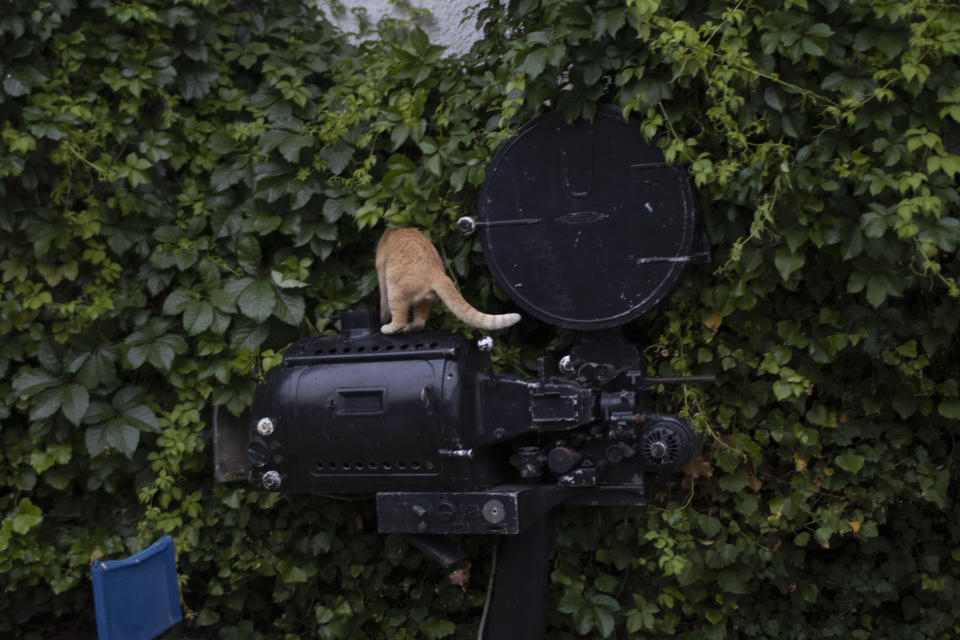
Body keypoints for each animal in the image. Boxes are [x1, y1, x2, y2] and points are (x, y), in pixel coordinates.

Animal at [376, 228, 524, 336]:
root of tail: (437, 274)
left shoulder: (381, 271)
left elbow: (383, 303)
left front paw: (382, 318)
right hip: (424, 301)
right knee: (419, 322)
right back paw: (410, 328)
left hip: (394, 290)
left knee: (399, 320)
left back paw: (388, 328)